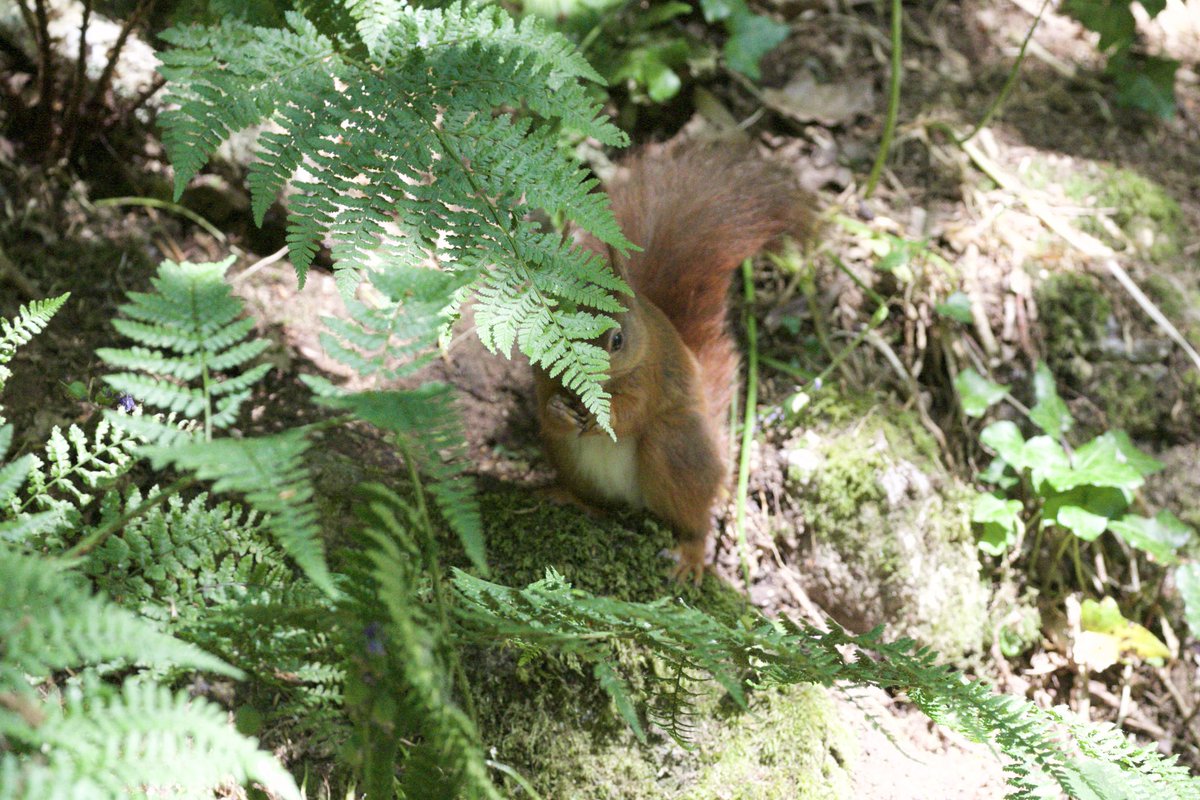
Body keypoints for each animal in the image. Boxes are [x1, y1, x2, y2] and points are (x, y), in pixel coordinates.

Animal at [537, 142, 811, 582]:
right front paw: (559, 410)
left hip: (675, 449)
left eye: (617, 339)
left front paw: (602, 417)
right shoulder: (538, 372)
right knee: (596, 499)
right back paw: (568, 498)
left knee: (696, 517)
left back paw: (691, 554)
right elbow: (543, 405)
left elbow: (634, 411)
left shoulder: (651, 375)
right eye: (550, 323)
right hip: (568, 459)